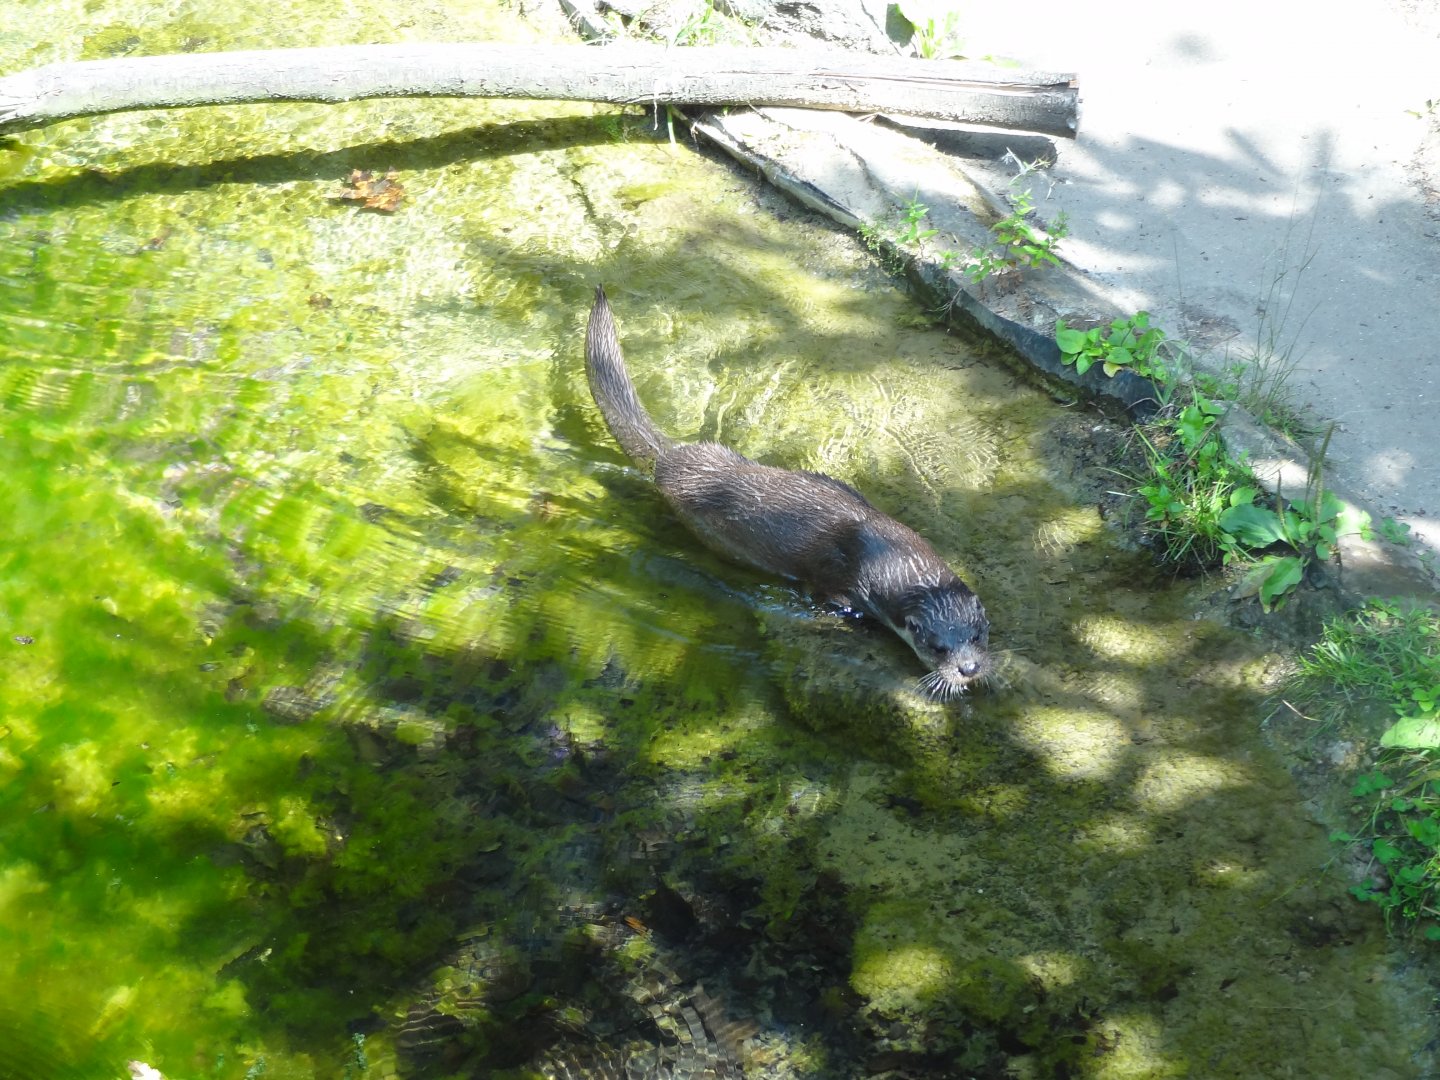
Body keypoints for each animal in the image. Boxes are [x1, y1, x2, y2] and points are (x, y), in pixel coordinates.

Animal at [584, 286, 990, 698]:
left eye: (978, 635)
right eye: (936, 646)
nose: (969, 668)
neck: (885, 551)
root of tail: (673, 457)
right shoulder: (838, 583)